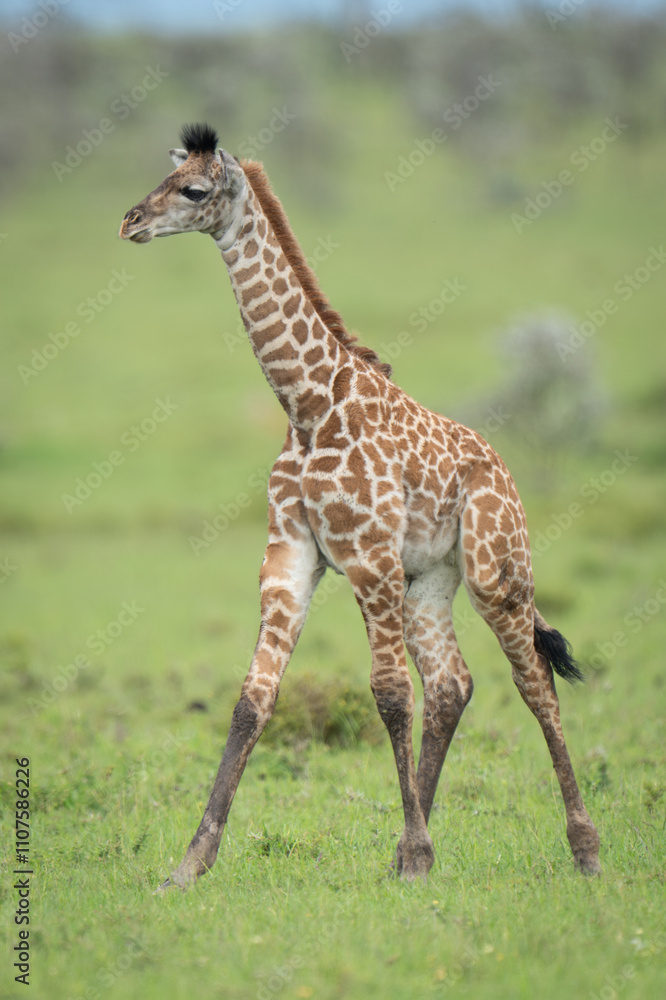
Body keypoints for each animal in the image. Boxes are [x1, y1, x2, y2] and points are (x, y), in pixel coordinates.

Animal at [119, 123, 601, 887]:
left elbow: (388, 693)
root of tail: (506, 474)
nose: (130, 221)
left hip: (497, 573)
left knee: (535, 685)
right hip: (430, 580)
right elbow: (253, 700)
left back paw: (583, 848)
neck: (309, 405)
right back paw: (414, 843)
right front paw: (189, 864)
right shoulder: (290, 558)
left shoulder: (368, 558)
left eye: (193, 190)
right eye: (162, 180)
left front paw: (417, 855)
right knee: (453, 683)